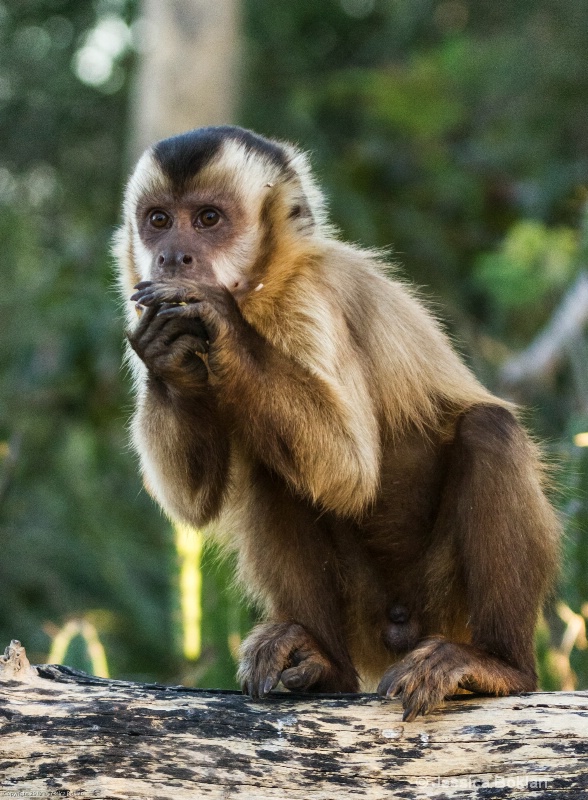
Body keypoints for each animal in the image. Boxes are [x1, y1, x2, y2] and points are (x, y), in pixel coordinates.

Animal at [113, 126, 560, 724]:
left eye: (208, 219)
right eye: (158, 220)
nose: (172, 256)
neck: (261, 289)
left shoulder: (310, 298)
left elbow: (348, 470)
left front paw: (218, 320)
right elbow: (193, 503)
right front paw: (169, 354)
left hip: (445, 602)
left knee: (489, 431)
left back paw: (500, 666)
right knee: (273, 469)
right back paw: (326, 666)